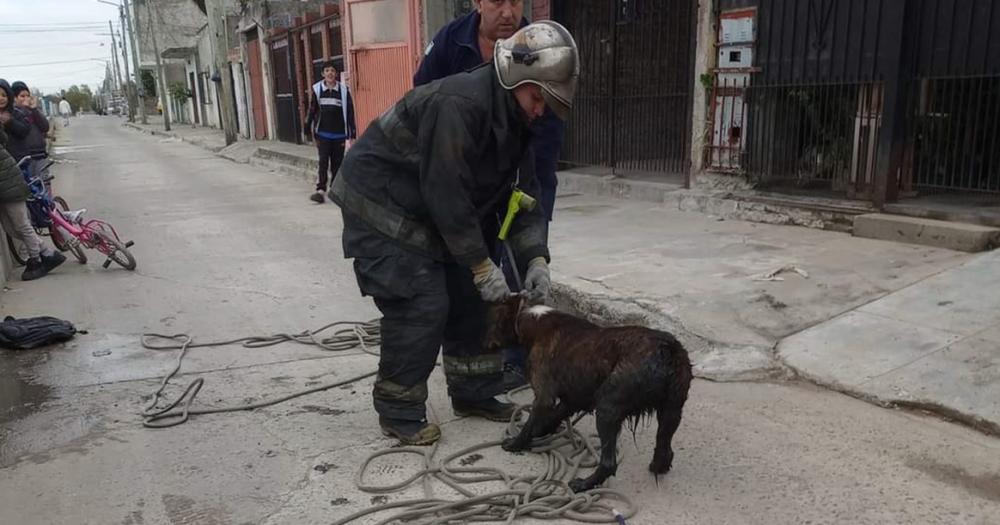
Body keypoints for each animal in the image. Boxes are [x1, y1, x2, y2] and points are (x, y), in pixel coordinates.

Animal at [486, 296, 692, 494]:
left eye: (492, 321)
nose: (485, 345)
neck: (528, 317)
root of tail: (668, 350)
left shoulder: (544, 396)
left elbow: (531, 424)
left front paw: (516, 443)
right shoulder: (574, 399)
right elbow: (551, 417)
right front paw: (542, 431)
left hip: (607, 408)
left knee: (609, 463)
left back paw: (584, 484)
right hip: (672, 410)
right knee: (665, 448)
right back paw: (658, 466)